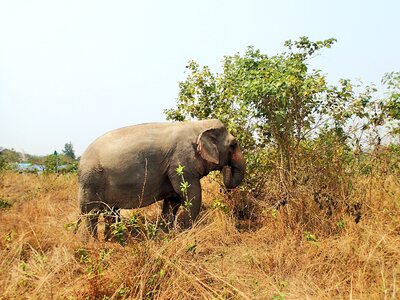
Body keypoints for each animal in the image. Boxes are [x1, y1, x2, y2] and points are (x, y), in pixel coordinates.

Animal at [77, 118, 245, 240]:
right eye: (233, 145)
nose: (226, 168)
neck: (197, 126)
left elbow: (173, 200)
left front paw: (166, 235)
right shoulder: (181, 162)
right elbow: (191, 195)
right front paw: (187, 233)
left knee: (111, 212)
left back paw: (112, 241)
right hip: (90, 181)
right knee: (91, 214)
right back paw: (93, 243)